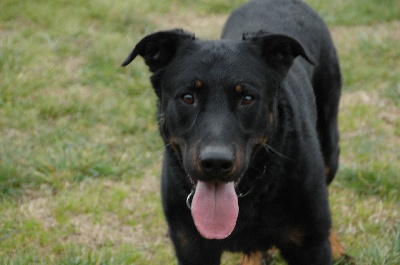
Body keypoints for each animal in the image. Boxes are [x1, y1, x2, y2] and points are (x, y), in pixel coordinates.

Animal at [121, 0, 340, 262]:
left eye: (247, 98)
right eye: (187, 97)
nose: (216, 162)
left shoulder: (309, 244)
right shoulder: (191, 246)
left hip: (330, 145)